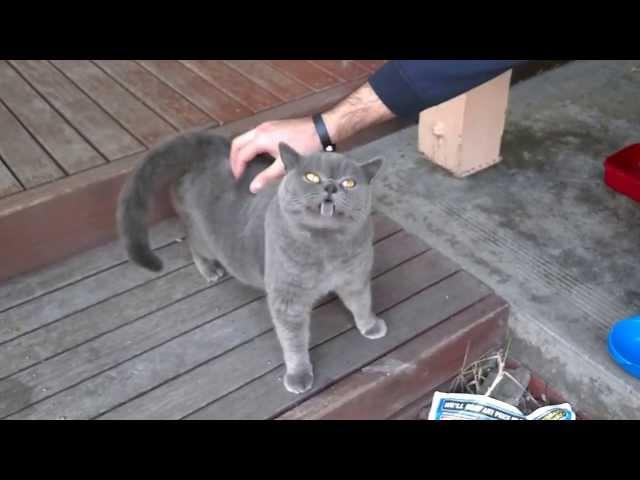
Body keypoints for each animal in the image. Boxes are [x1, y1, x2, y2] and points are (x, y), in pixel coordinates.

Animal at [116, 131, 384, 394]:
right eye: (311, 177)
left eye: (349, 183)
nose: (330, 187)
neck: (326, 249)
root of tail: (210, 146)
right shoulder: (288, 299)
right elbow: (294, 341)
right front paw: (298, 375)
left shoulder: (355, 277)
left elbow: (361, 303)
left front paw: (370, 326)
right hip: (204, 237)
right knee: (193, 243)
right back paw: (210, 270)